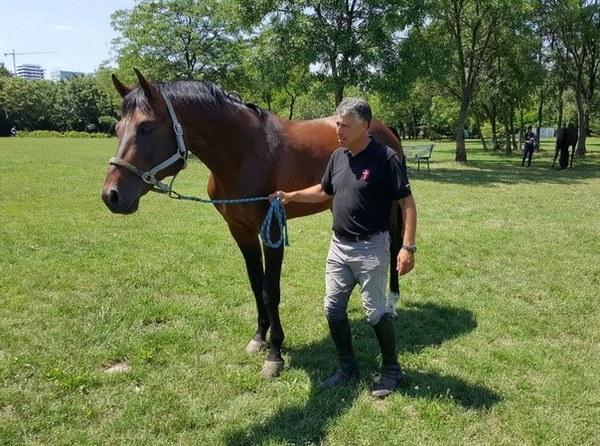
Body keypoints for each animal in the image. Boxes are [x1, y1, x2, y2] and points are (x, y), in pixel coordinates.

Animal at [101, 71, 406, 378]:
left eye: (146, 128)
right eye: (117, 129)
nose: (111, 196)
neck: (246, 152)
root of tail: (385, 128)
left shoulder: (271, 230)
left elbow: (270, 291)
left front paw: (275, 354)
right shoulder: (240, 230)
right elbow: (255, 284)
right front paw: (259, 338)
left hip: (391, 210)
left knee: (393, 250)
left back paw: (391, 304)